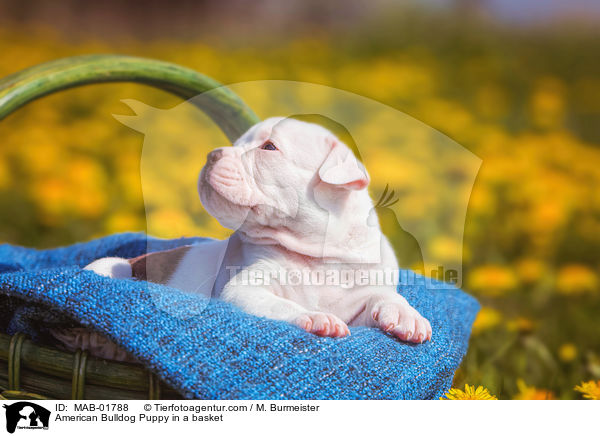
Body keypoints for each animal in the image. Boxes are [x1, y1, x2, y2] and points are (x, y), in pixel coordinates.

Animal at [54, 117, 432, 360]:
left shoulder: (363, 295)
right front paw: (315, 318)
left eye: (269, 147)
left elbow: (385, 298)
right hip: (111, 266)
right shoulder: (244, 290)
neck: (315, 253)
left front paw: (408, 316)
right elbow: (281, 305)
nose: (211, 154)